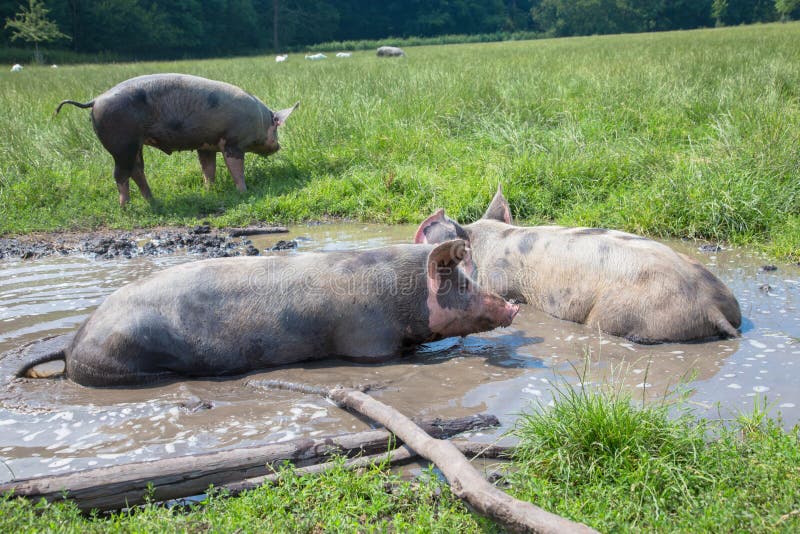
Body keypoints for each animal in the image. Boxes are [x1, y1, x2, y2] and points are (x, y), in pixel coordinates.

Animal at [55, 75, 300, 207]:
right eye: (276, 128)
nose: (278, 146)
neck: (258, 119)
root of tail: (95, 100)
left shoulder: (206, 145)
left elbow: (208, 169)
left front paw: (209, 191)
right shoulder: (233, 143)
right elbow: (236, 169)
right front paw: (243, 192)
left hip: (134, 144)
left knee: (137, 170)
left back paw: (154, 202)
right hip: (122, 144)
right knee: (121, 174)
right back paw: (126, 208)